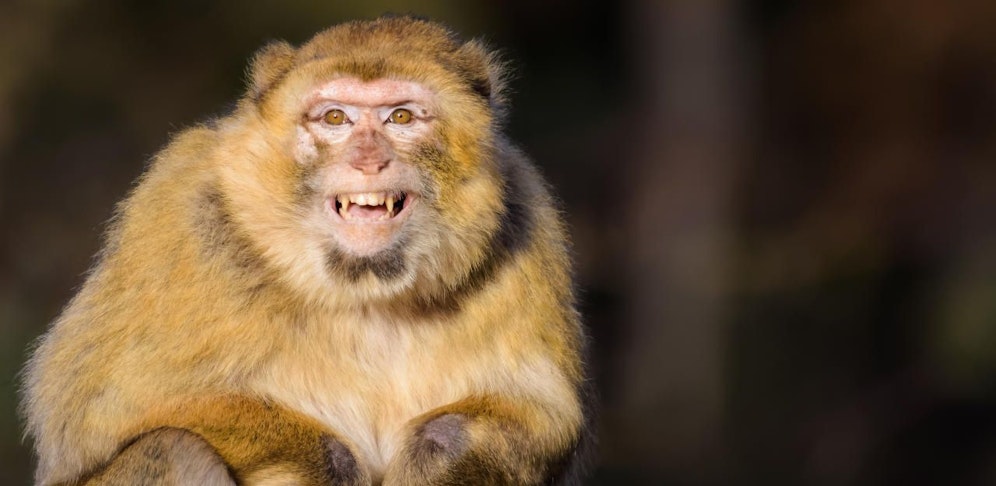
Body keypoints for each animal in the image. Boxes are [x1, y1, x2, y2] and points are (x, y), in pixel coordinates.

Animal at [21, 16, 594, 486]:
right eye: (335, 119)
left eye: (401, 118)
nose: (368, 159)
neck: (362, 286)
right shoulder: (181, 212)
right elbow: (94, 411)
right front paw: (329, 461)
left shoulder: (526, 215)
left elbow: (537, 418)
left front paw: (439, 452)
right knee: (174, 448)